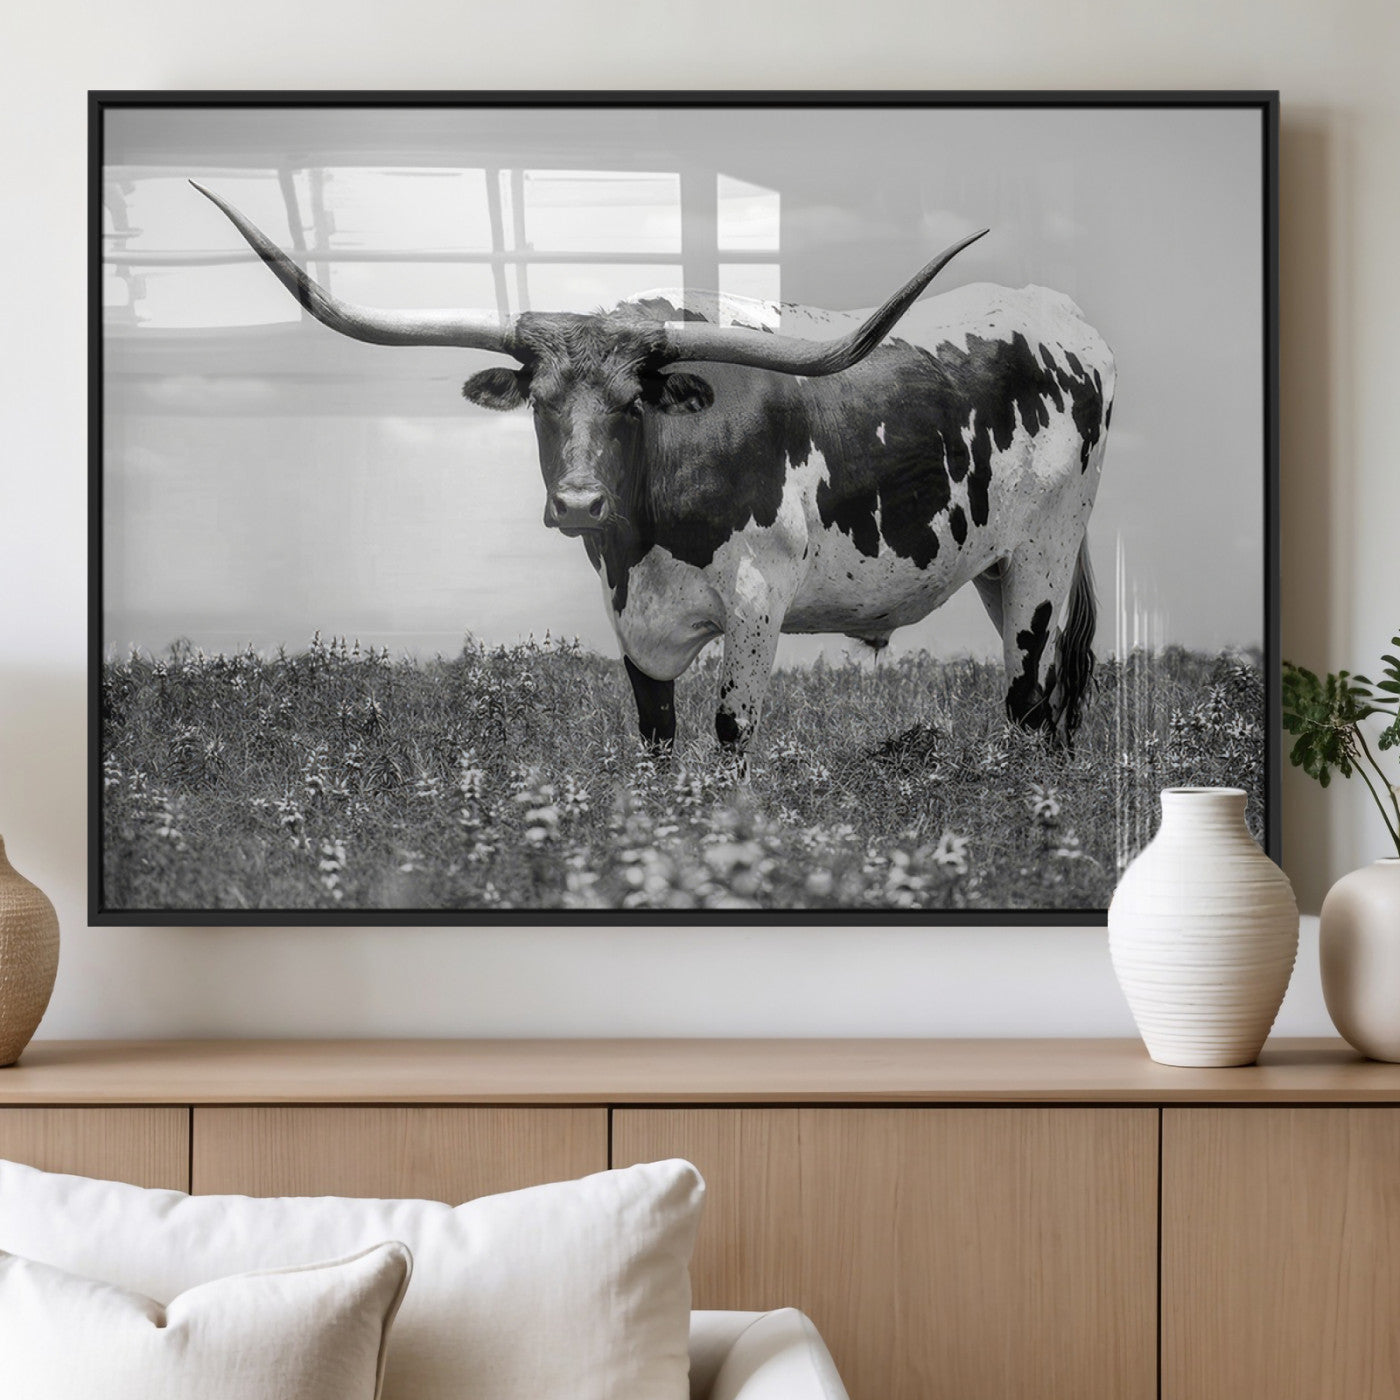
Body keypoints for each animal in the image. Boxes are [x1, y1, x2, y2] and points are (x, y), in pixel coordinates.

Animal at [193, 181, 1115, 757]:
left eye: (632, 403)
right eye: (540, 403)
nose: (577, 502)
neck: (647, 528)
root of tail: (1064, 320)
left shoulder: (758, 602)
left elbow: (733, 736)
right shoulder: (628, 615)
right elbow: (657, 740)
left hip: (1042, 558)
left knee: (1029, 703)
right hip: (995, 567)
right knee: (1049, 707)